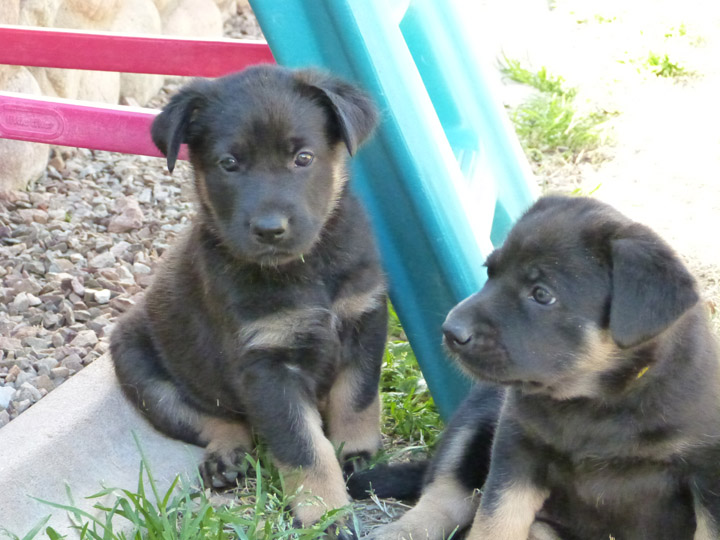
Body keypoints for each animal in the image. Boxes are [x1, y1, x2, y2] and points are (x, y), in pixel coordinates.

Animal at [109, 64, 386, 532]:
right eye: (229, 164)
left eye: (303, 158)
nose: (270, 229)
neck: (305, 269)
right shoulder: (266, 365)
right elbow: (303, 447)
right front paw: (326, 513)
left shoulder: (364, 316)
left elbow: (357, 397)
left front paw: (356, 453)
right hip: (138, 367)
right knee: (217, 419)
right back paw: (226, 459)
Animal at [362, 196, 720, 536]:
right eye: (490, 272)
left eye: (541, 294)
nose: (450, 331)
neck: (599, 399)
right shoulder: (517, 446)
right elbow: (494, 521)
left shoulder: (708, 472)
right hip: (477, 415)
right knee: (445, 492)